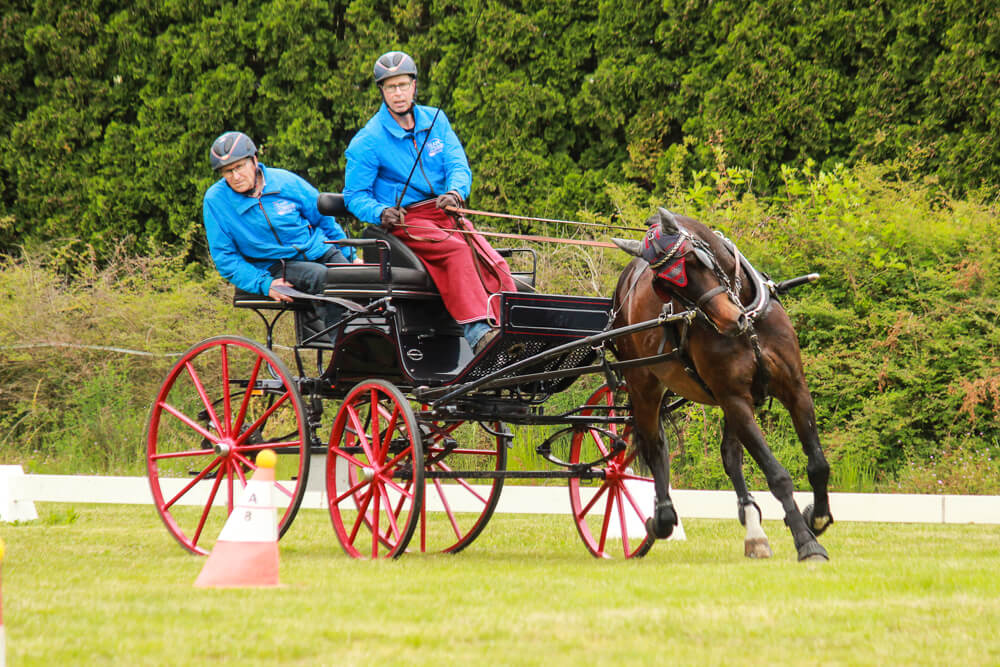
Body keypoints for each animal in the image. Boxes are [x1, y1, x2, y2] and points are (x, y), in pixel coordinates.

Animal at [611, 207, 833, 561]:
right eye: (665, 287)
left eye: (694, 259)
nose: (730, 321)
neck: (748, 315)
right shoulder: (734, 398)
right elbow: (777, 475)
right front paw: (806, 541)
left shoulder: (794, 387)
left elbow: (817, 465)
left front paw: (818, 517)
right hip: (643, 384)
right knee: (654, 446)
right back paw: (661, 519)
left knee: (730, 456)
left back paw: (754, 531)